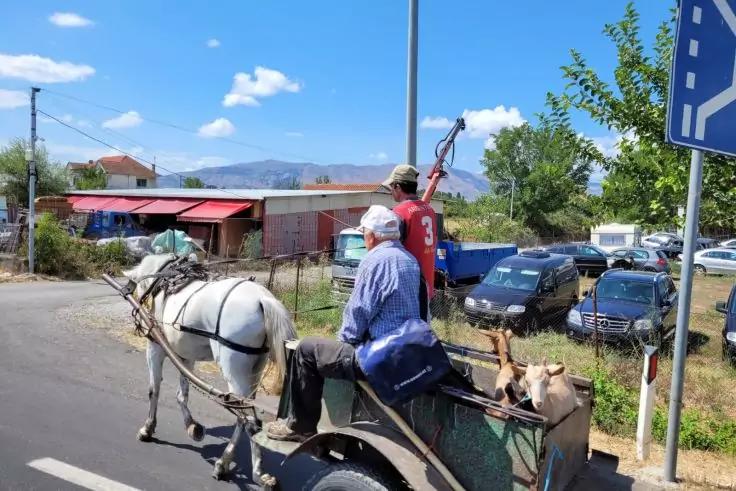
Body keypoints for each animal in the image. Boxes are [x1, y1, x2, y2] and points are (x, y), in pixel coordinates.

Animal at [123, 253, 297, 480]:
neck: (164, 279)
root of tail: (262, 299)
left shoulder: (155, 347)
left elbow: (154, 390)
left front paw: (148, 428)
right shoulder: (185, 356)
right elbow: (182, 394)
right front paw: (193, 427)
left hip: (234, 369)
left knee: (246, 417)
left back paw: (233, 465)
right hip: (255, 370)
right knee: (247, 415)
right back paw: (250, 467)